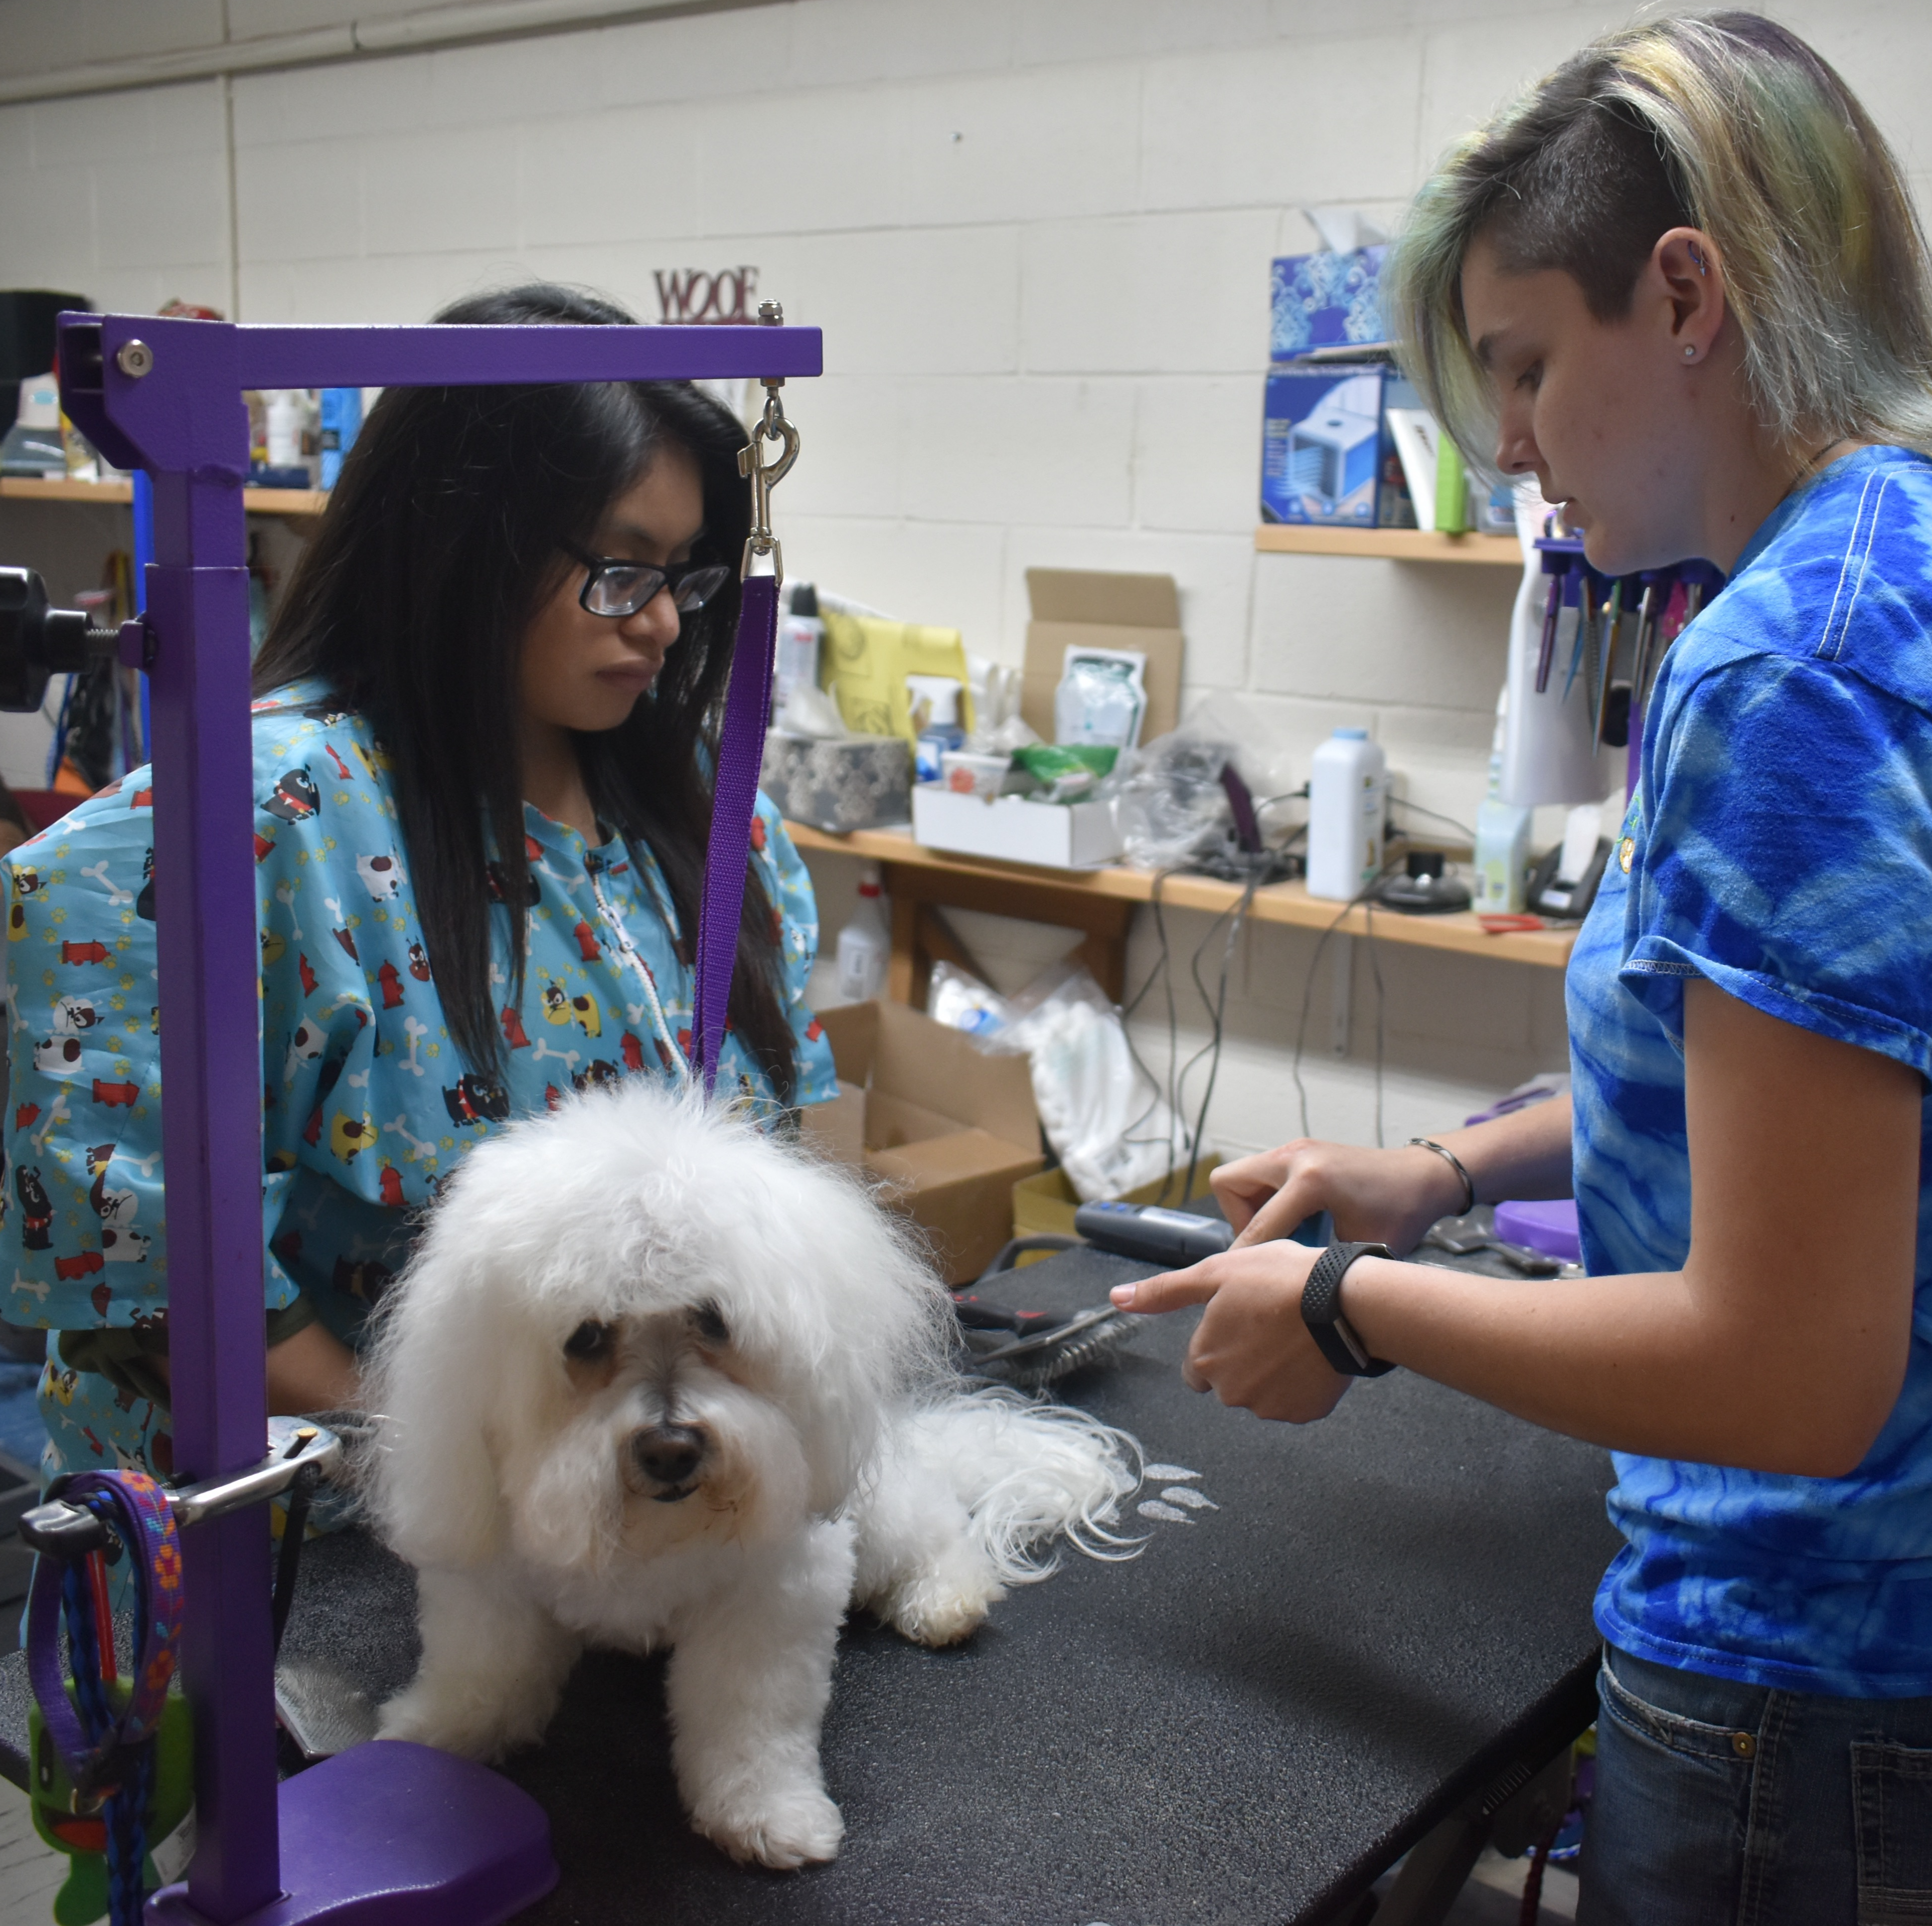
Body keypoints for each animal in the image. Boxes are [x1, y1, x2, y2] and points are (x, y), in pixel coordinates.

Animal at [365, 1082, 1128, 1862]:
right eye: (587, 1336)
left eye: (713, 1319)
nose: (671, 1448)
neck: (653, 1530)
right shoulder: (491, 1577)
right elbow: (483, 1671)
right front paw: (432, 1737)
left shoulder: (770, 1595)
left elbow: (750, 1724)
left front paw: (768, 1814)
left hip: (876, 1514)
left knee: (940, 1535)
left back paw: (944, 1599)